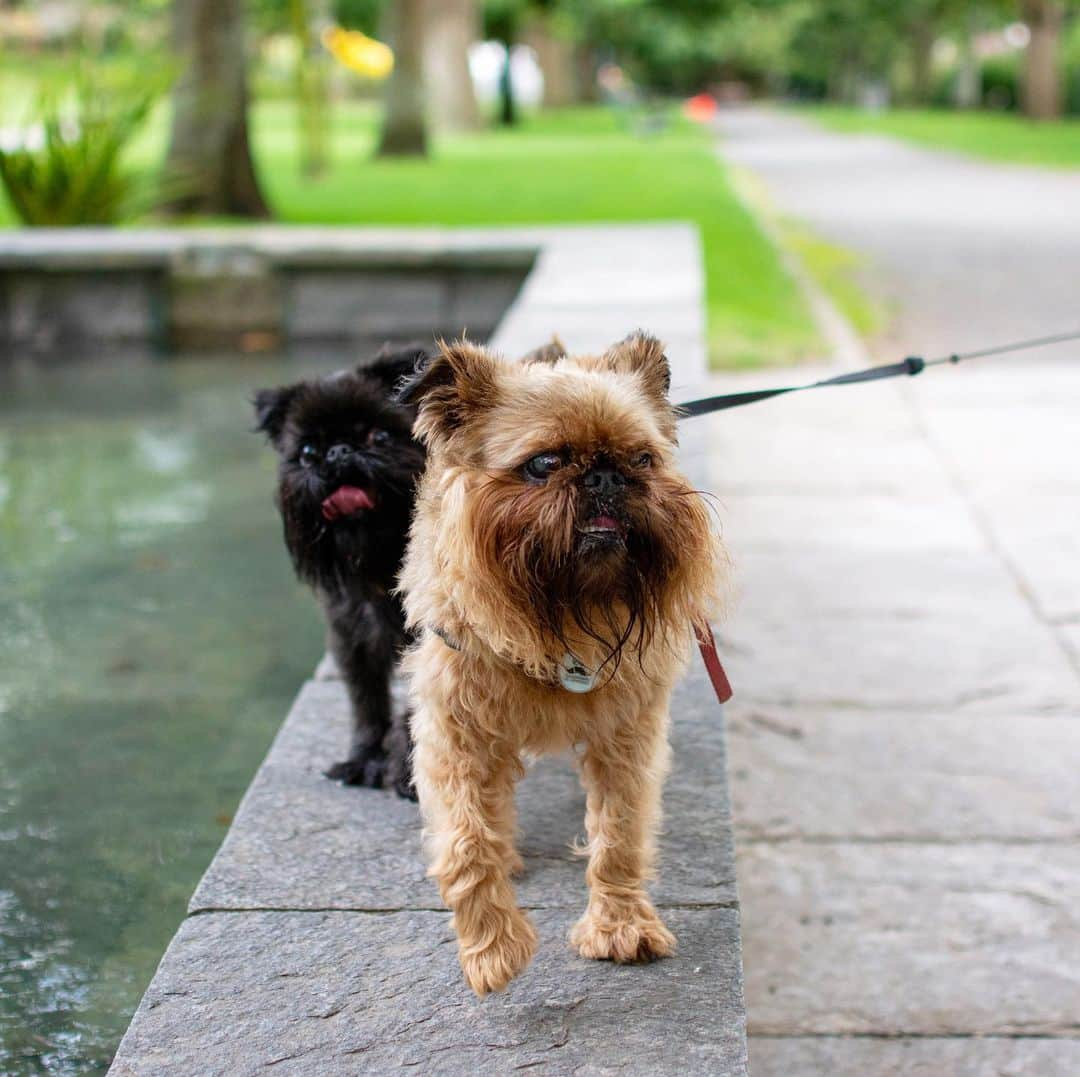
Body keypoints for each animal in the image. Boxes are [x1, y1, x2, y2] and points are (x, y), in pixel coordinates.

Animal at [252, 345, 425, 799]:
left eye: (379, 437)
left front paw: (408, 771)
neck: (380, 562)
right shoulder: (351, 638)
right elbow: (367, 706)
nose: (339, 453)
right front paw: (365, 760)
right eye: (309, 452)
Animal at [397, 332, 725, 998]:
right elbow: (466, 842)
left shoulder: (628, 737)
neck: (564, 612)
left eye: (643, 459)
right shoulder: (454, 736)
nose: (605, 475)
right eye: (545, 464)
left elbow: (620, 833)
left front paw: (621, 926)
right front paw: (492, 946)